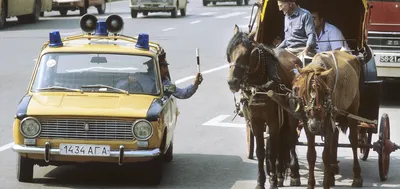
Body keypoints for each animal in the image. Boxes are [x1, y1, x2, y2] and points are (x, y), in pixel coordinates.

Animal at [227, 24, 302, 189]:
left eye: (246, 54)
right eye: (229, 53)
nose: (232, 82)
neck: (260, 86)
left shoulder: (273, 122)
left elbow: (271, 152)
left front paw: (272, 181)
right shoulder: (256, 122)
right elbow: (261, 152)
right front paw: (261, 181)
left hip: (292, 115)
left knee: (291, 139)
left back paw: (294, 173)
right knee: (282, 140)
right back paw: (280, 173)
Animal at [290, 50, 362, 189]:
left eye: (323, 91)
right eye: (303, 92)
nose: (314, 124)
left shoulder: (328, 123)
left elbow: (326, 156)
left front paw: (326, 182)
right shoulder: (307, 124)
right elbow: (311, 155)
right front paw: (311, 184)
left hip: (353, 108)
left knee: (354, 141)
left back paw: (356, 176)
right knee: (335, 138)